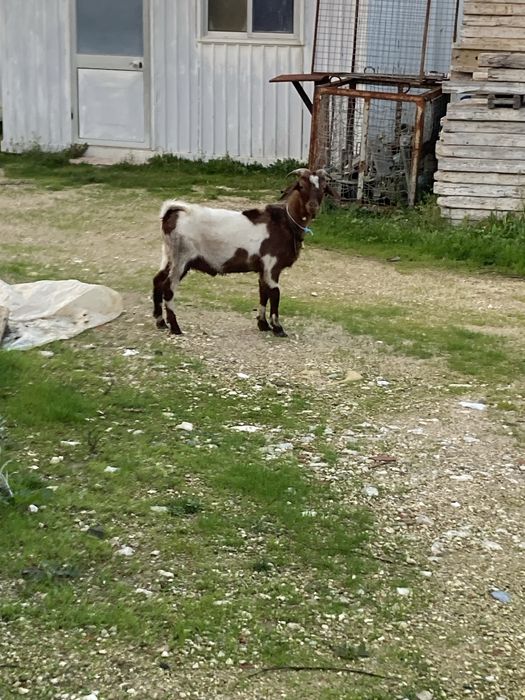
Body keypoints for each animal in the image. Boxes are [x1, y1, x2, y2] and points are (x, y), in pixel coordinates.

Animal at [152, 168, 335, 337]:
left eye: (324, 187)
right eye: (301, 186)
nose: (313, 207)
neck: (286, 221)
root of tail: (171, 214)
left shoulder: (263, 269)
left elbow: (263, 292)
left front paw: (263, 325)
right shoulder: (272, 265)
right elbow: (275, 293)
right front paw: (278, 328)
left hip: (168, 256)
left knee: (157, 280)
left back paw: (161, 322)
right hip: (181, 259)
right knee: (168, 287)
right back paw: (175, 327)